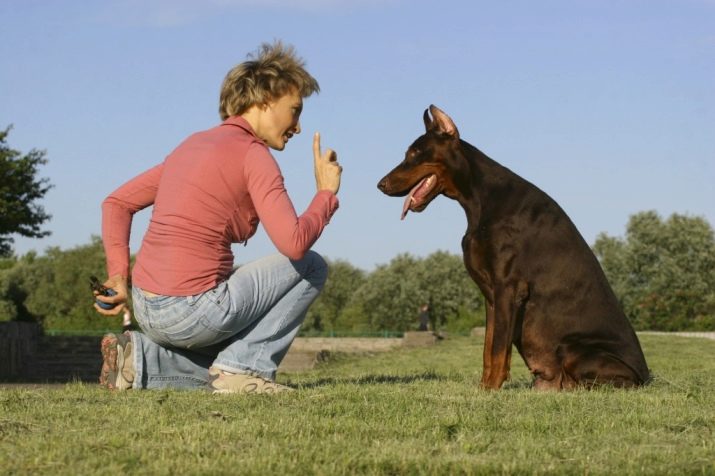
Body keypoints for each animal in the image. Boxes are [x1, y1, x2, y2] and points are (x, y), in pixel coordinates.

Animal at [378, 106, 652, 388]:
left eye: (414, 153)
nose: (381, 184)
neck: (479, 199)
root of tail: (646, 376)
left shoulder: (508, 287)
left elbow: (499, 349)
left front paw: (490, 389)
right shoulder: (492, 296)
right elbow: (489, 348)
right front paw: (483, 387)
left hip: (573, 349)